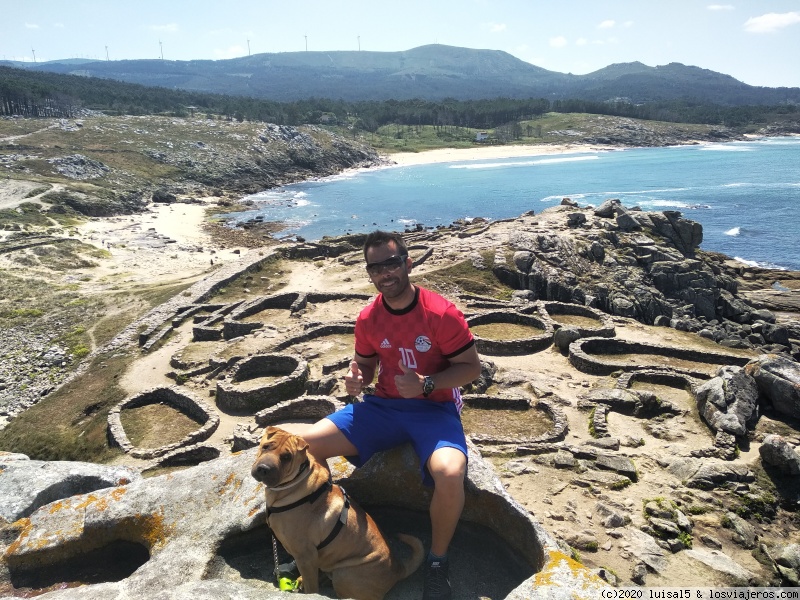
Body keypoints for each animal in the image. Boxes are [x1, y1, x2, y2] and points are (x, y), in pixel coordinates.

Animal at [252, 426, 424, 600]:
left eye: (286, 457)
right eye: (266, 446)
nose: (264, 469)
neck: (295, 482)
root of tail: (398, 569)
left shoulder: (305, 555)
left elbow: (311, 587)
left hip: (344, 574)